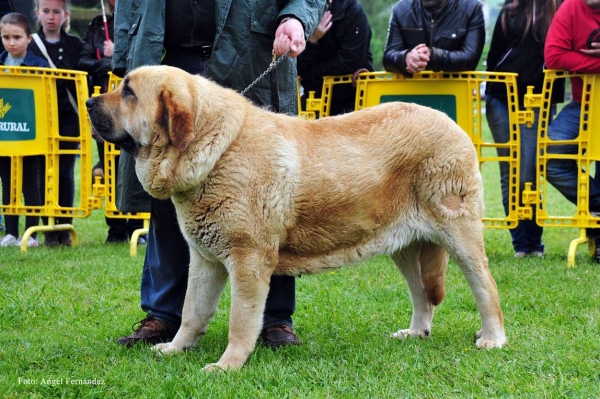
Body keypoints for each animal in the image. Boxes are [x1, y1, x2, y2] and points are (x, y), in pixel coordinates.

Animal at [85, 65, 506, 372]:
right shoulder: (205, 259)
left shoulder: (248, 260)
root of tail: (452, 125)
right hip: (402, 245)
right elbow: (192, 311)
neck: (216, 150)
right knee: (421, 293)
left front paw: (227, 366)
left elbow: (241, 320)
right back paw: (416, 332)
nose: (88, 101)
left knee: (486, 288)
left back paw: (493, 339)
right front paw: (175, 348)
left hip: (460, 234)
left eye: (128, 92)